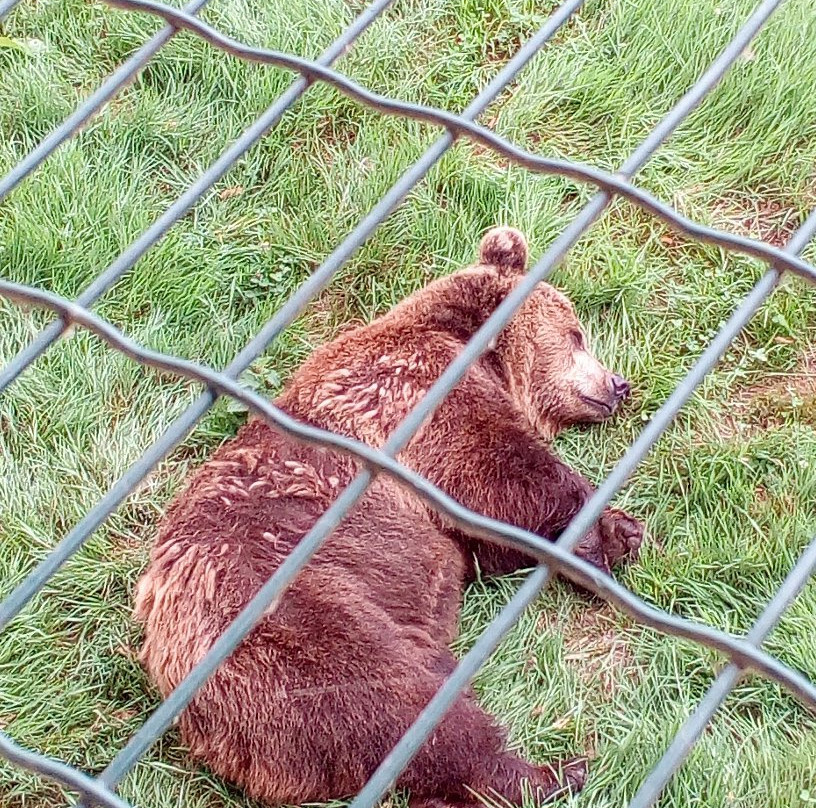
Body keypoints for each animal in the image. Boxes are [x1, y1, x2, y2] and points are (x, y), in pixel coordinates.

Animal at [134, 226, 644, 808]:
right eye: (578, 334)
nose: (618, 384)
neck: (478, 349)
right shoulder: (414, 395)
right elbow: (504, 473)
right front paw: (615, 530)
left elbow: (492, 535)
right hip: (298, 622)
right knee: (400, 706)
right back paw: (551, 773)